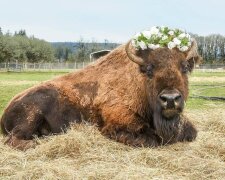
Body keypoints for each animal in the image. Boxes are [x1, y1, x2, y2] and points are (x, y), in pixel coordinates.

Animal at [0, 38, 200, 150]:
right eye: (149, 69)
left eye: (184, 67)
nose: (170, 99)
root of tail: (6, 110)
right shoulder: (118, 122)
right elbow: (151, 139)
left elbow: (192, 132)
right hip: (31, 114)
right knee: (12, 139)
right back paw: (33, 144)